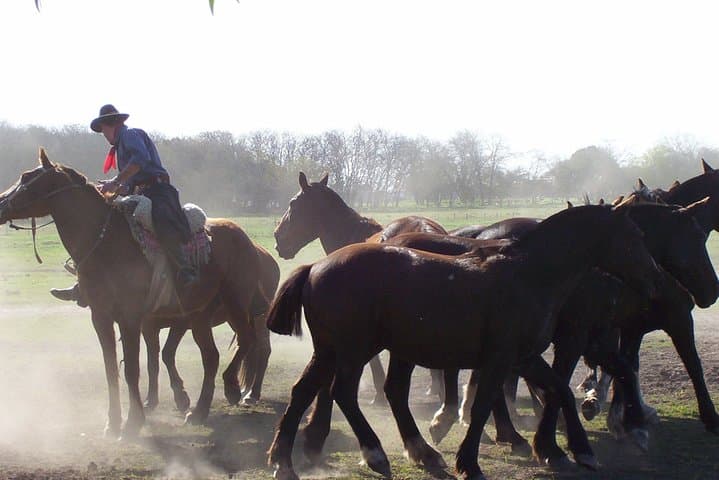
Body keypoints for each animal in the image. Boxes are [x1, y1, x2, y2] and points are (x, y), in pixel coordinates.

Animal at [0, 149, 269, 437]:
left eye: (26, 177)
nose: (1, 203)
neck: (106, 242)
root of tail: (244, 238)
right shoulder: (102, 317)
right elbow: (112, 367)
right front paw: (112, 422)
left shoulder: (130, 317)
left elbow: (132, 368)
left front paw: (132, 423)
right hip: (198, 314)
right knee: (211, 356)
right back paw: (198, 412)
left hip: (236, 302)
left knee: (247, 339)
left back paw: (231, 388)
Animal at [266, 204, 663, 480]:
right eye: (633, 238)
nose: (655, 281)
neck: (530, 274)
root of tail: (315, 267)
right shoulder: (502, 359)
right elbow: (484, 404)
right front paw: (470, 461)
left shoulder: (525, 357)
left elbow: (560, 390)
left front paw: (578, 450)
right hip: (354, 351)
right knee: (343, 393)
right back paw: (375, 453)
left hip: (331, 352)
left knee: (305, 391)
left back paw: (284, 459)